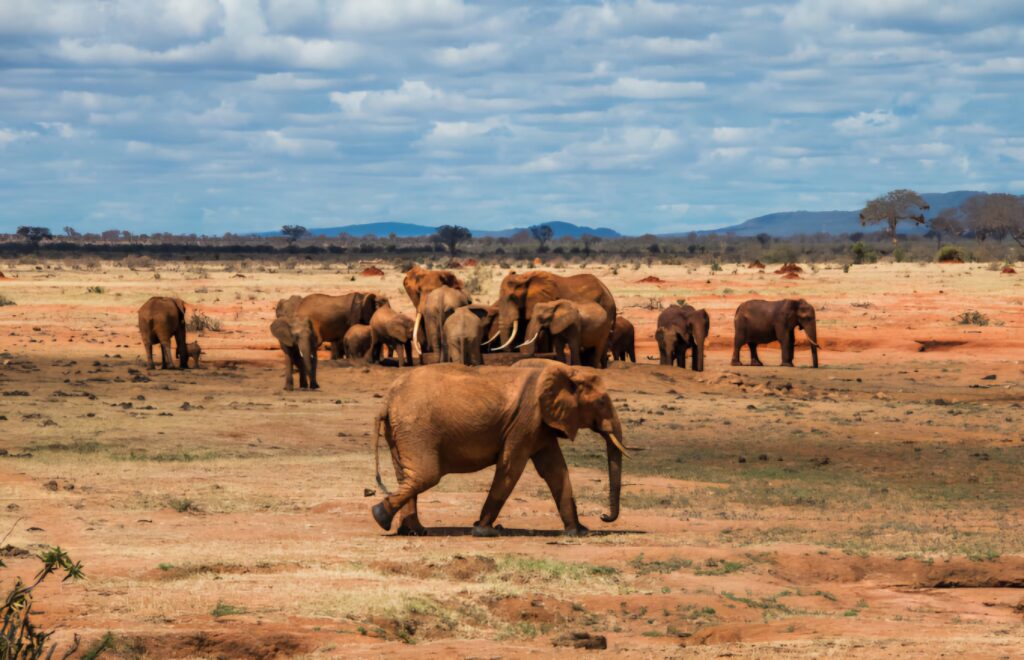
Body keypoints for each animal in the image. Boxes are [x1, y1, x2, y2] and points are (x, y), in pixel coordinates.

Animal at [368, 360, 622, 536]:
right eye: (601, 402)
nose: (603, 516)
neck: (564, 371)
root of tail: (386, 401)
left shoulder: (540, 425)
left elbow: (555, 470)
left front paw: (578, 532)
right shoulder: (526, 420)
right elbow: (510, 467)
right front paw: (484, 530)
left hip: (400, 431)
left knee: (408, 476)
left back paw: (413, 531)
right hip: (416, 429)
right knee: (426, 475)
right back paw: (380, 516)